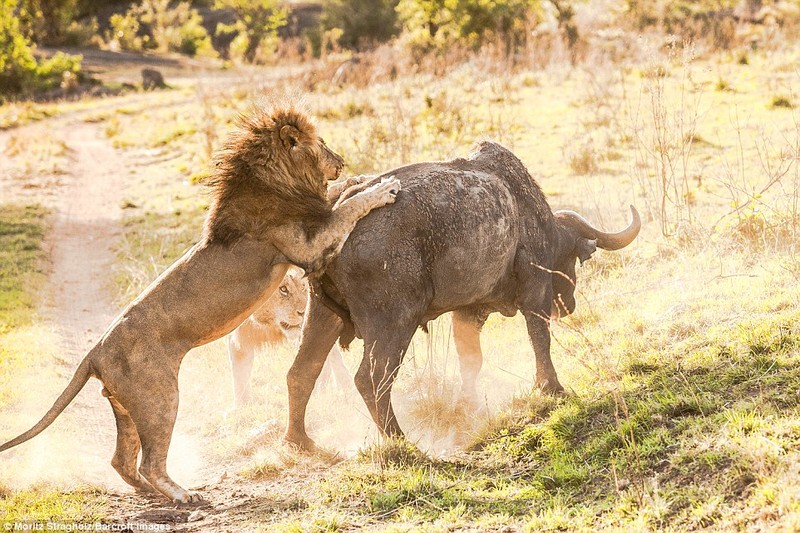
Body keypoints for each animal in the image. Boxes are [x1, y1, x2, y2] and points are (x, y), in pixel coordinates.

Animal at [0, 104, 400, 502]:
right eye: (323, 143)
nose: (343, 161)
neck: (276, 181)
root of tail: (95, 351)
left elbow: (338, 199)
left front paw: (361, 178)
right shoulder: (308, 247)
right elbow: (347, 209)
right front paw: (382, 187)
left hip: (126, 407)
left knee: (121, 461)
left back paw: (150, 492)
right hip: (160, 397)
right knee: (149, 460)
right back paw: (181, 494)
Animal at [284, 141, 640, 448]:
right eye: (572, 259)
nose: (568, 305)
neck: (525, 212)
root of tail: (337, 213)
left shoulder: (468, 312)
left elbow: (471, 360)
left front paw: (470, 405)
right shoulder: (535, 292)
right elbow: (540, 340)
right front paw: (552, 388)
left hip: (321, 315)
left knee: (301, 373)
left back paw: (300, 441)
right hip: (394, 322)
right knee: (371, 379)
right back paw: (400, 440)